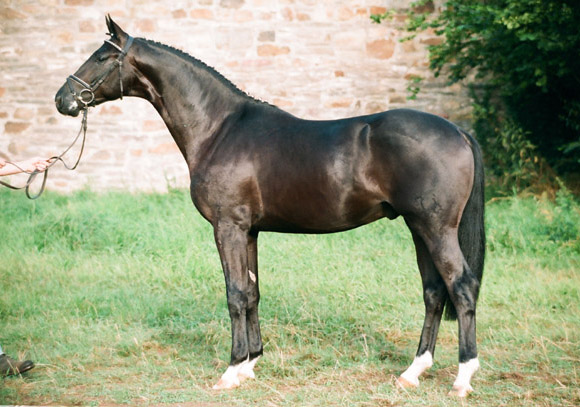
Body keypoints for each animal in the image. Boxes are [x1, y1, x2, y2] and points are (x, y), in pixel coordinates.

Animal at [56, 17, 484, 396]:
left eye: (101, 56)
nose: (63, 99)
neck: (220, 128)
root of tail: (458, 131)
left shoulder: (227, 227)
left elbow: (234, 293)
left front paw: (231, 371)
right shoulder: (249, 231)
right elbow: (252, 292)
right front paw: (251, 363)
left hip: (435, 229)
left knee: (461, 287)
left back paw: (463, 378)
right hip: (418, 228)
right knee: (434, 292)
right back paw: (413, 372)